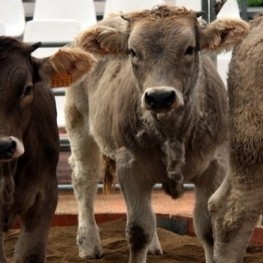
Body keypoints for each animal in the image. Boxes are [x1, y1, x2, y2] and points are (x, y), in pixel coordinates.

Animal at [65, 5, 251, 263]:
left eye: (189, 49)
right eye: (132, 51)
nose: (160, 97)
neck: (173, 135)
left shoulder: (215, 166)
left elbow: (208, 228)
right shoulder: (130, 167)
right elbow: (138, 230)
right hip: (79, 123)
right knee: (84, 179)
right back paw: (88, 243)